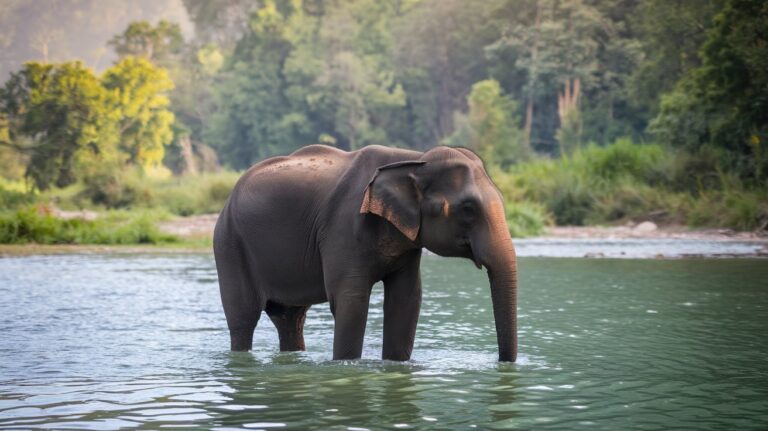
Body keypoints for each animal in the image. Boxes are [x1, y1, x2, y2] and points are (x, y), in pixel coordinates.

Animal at [213, 144, 518, 362]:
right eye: (468, 209)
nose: (502, 362)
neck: (413, 160)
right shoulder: (343, 229)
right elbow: (351, 301)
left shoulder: (408, 241)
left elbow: (406, 300)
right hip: (229, 244)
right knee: (243, 318)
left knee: (290, 319)